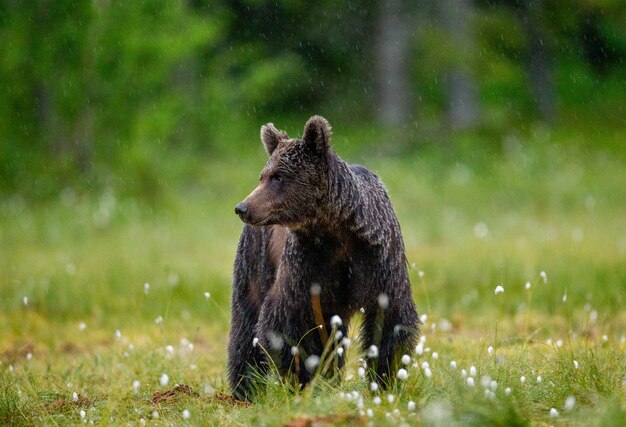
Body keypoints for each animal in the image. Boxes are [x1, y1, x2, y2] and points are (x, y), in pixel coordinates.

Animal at [227, 116, 416, 402]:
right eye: (263, 175)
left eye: (277, 176)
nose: (243, 207)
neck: (333, 229)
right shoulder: (306, 264)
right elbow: (284, 320)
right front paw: (301, 377)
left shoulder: (378, 261)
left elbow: (390, 321)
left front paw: (385, 379)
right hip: (256, 260)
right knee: (246, 320)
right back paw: (245, 388)